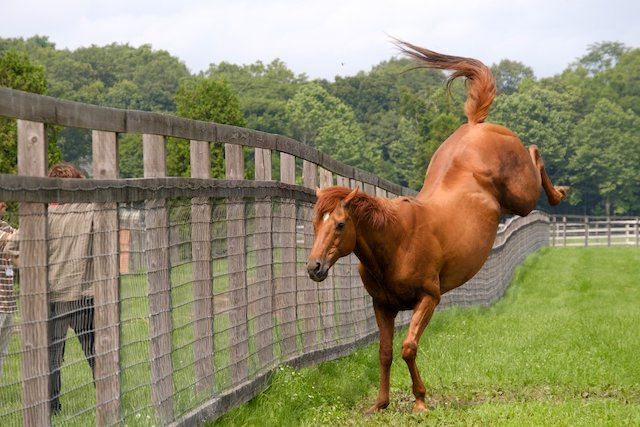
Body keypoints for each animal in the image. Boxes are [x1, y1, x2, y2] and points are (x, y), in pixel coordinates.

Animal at [306, 41, 568, 414]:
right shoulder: (382, 305)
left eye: (340, 224)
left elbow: (408, 347)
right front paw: (380, 403)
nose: (314, 267)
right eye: (315, 222)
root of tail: (476, 125)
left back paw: (561, 192)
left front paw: (420, 401)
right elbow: (385, 352)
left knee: (534, 153)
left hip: (523, 196)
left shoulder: (429, 297)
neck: (396, 241)